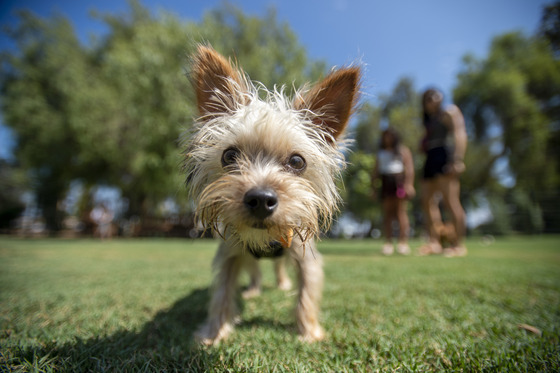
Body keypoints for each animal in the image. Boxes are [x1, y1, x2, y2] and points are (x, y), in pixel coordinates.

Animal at [182, 45, 360, 344]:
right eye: (229, 156)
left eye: (297, 162)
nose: (261, 199)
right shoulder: (231, 252)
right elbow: (222, 293)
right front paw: (214, 332)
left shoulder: (304, 254)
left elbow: (307, 292)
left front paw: (308, 331)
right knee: (254, 270)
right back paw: (254, 290)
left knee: (278, 268)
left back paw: (282, 283)